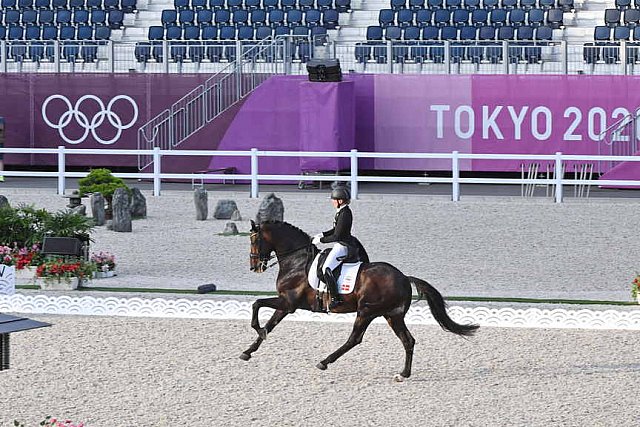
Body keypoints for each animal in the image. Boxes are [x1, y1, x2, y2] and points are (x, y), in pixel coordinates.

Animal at [242, 221, 478, 378]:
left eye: (254, 239)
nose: (254, 267)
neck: (297, 261)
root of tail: (404, 277)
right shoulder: (286, 304)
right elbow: (269, 322)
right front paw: (248, 351)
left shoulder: (289, 303)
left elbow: (256, 305)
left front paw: (258, 331)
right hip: (392, 315)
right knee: (407, 340)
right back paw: (404, 373)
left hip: (366, 312)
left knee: (354, 339)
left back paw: (324, 362)